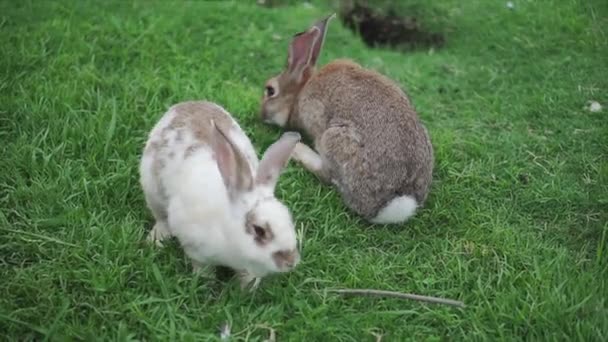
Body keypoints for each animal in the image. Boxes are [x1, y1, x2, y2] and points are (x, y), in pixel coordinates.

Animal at [140, 101, 302, 288]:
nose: (291, 262)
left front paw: (247, 288)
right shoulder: (195, 248)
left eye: (289, 218)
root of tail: (187, 103)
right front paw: (206, 282)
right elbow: (202, 267)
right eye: (259, 231)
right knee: (161, 219)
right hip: (153, 193)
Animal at [258, 13, 434, 223]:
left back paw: (298, 149)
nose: (260, 114)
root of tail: (395, 203)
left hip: (333, 139)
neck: (301, 91)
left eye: (270, 90)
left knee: (328, 175)